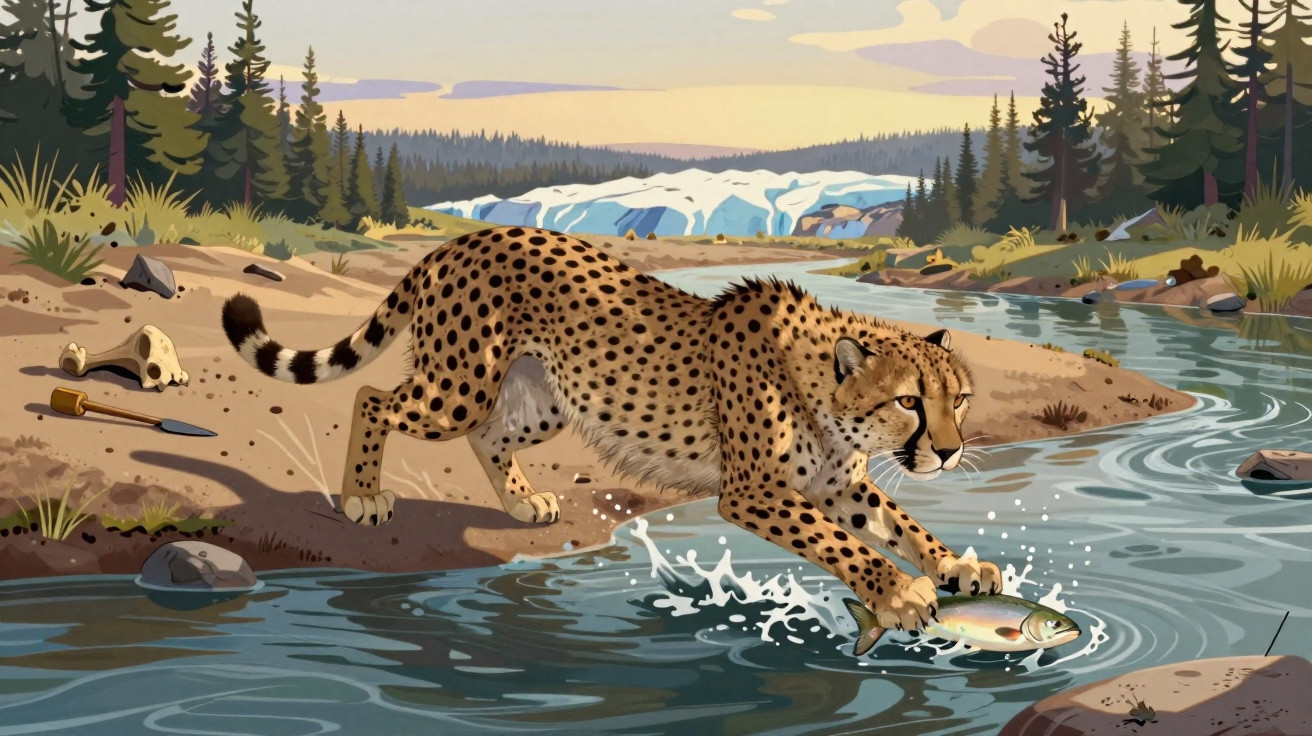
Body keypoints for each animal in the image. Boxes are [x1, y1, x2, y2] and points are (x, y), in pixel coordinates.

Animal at [221, 226, 1001, 635]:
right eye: (910, 402)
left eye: (960, 399)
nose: (950, 451)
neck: (825, 390)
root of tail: (466, 236)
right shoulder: (755, 493)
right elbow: (845, 544)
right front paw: (900, 593)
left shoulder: (840, 486)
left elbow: (899, 523)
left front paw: (957, 566)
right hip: (457, 389)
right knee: (374, 397)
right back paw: (361, 495)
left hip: (545, 400)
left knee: (488, 436)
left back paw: (522, 502)